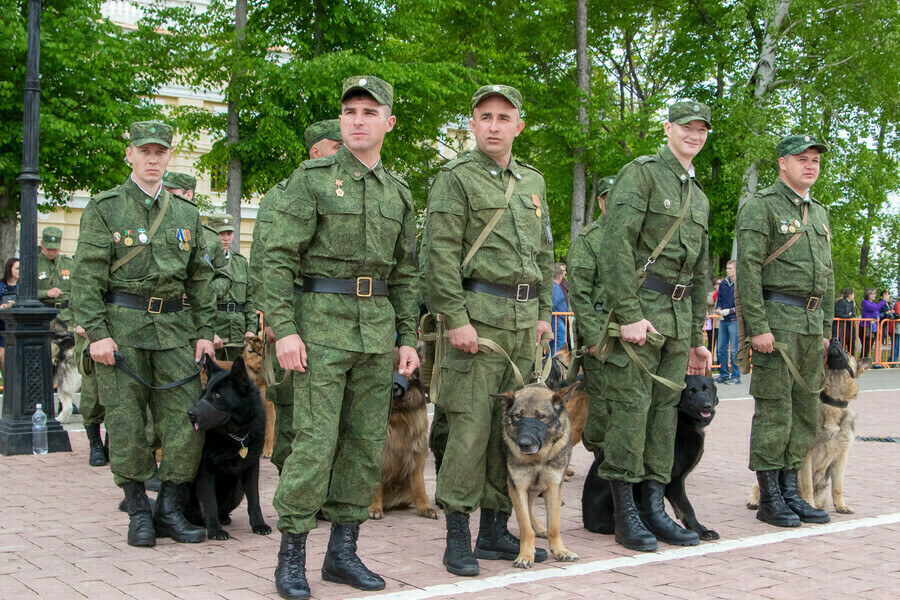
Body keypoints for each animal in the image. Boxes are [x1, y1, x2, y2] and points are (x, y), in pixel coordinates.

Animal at [181, 354, 268, 540]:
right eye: (204, 393)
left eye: (218, 395)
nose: (190, 413)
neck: (236, 435)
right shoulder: (205, 471)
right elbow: (209, 503)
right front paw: (215, 530)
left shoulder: (251, 467)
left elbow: (254, 500)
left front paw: (258, 524)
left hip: (237, 491)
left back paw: (224, 518)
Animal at [366, 346, 436, 520]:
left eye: (402, 368)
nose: (395, 388)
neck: (397, 410)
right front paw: (374, 507)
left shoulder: (417, 452)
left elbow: (419, 485)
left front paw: (425, 507)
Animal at [496, 384, 580, 568]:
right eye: (518, 416)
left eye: (541, 416)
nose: (524, 444)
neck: (538, 458)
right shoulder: (517, 486)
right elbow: (525, 526)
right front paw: (526, 555)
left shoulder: (554, 486)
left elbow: (554, 525)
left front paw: (560, 551)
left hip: (536, 487)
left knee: (530, 506)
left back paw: (541, 529)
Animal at [580, 376, 720, 540]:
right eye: (690, 391)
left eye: (707, 390)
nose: (707, 406)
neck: (682, 422)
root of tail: (587, 522)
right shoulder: (674, 479)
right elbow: (686, 507)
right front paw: (699, 530)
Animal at [744, 342, 872, 516]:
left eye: (847, 352)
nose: (834, 340)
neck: (832, 403)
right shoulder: (806, 456)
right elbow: (807, 485)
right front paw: (808, 505)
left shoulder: (841, 458)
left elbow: (838, 487)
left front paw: (840, 506)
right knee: (759, 485)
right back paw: (755, 500)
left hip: (823, 493)